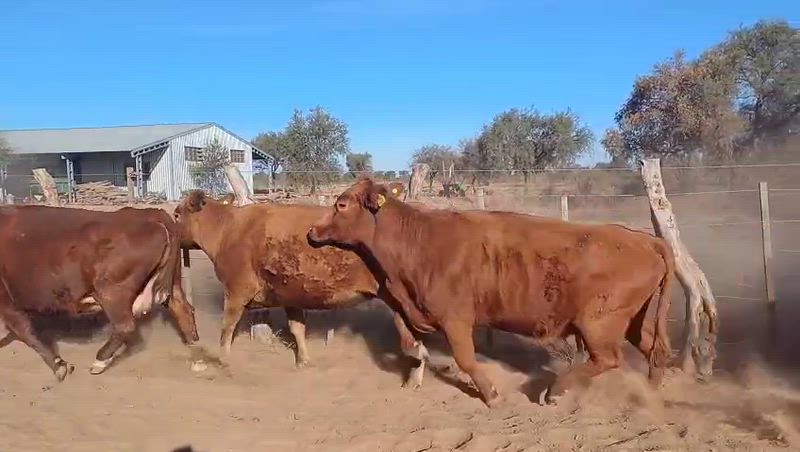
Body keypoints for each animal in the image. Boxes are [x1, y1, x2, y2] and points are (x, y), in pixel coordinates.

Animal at [0, 205, 199, 380]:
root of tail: (151, 214)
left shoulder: (6, 302)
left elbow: (25, 331)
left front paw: (59, 366)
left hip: (112, 292)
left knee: (125, 325)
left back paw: (100, 361)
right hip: (173, 285)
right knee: (184, 310)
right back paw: (196, 354)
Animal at [172, 186, 432, 388]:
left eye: (176, 214)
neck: (228, 230)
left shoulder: (236, 292)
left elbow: (227, 329)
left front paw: (224, 361)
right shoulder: (291, 297)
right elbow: (297, 328)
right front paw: (304, 361)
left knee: (415, 343)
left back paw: (413, 381)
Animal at [308, 178, 675, 407]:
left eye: (341, 204)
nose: (312, 231)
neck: (419, 242)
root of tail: (644, 239)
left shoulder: (455, 319)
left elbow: (466, 360)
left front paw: (491, 394)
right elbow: (412, 347)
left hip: (598, 324)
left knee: (607, 359)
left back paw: (554, 391)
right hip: (630, 321)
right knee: (652, 350)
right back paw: (652, 391)